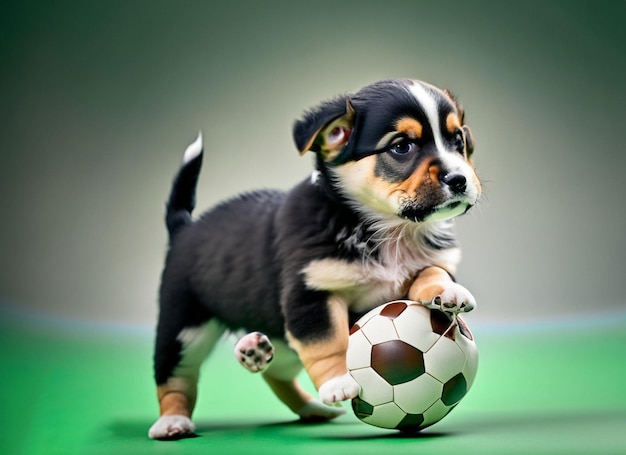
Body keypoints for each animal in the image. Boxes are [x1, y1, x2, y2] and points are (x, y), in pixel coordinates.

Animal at [149, 79, 480, 442]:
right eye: (402, 147)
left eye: (458, 141)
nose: (460, 179)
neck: (387, 230)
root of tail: (184, 227)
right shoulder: (311, 295)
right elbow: (329, 343)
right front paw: (337, 383)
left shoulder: (428, 264)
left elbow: (432, 272)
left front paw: (448, 293)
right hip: (183, 328)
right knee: (173, 378)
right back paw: (172, 422)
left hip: (278, 336)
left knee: (276, 373)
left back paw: (284, 382)